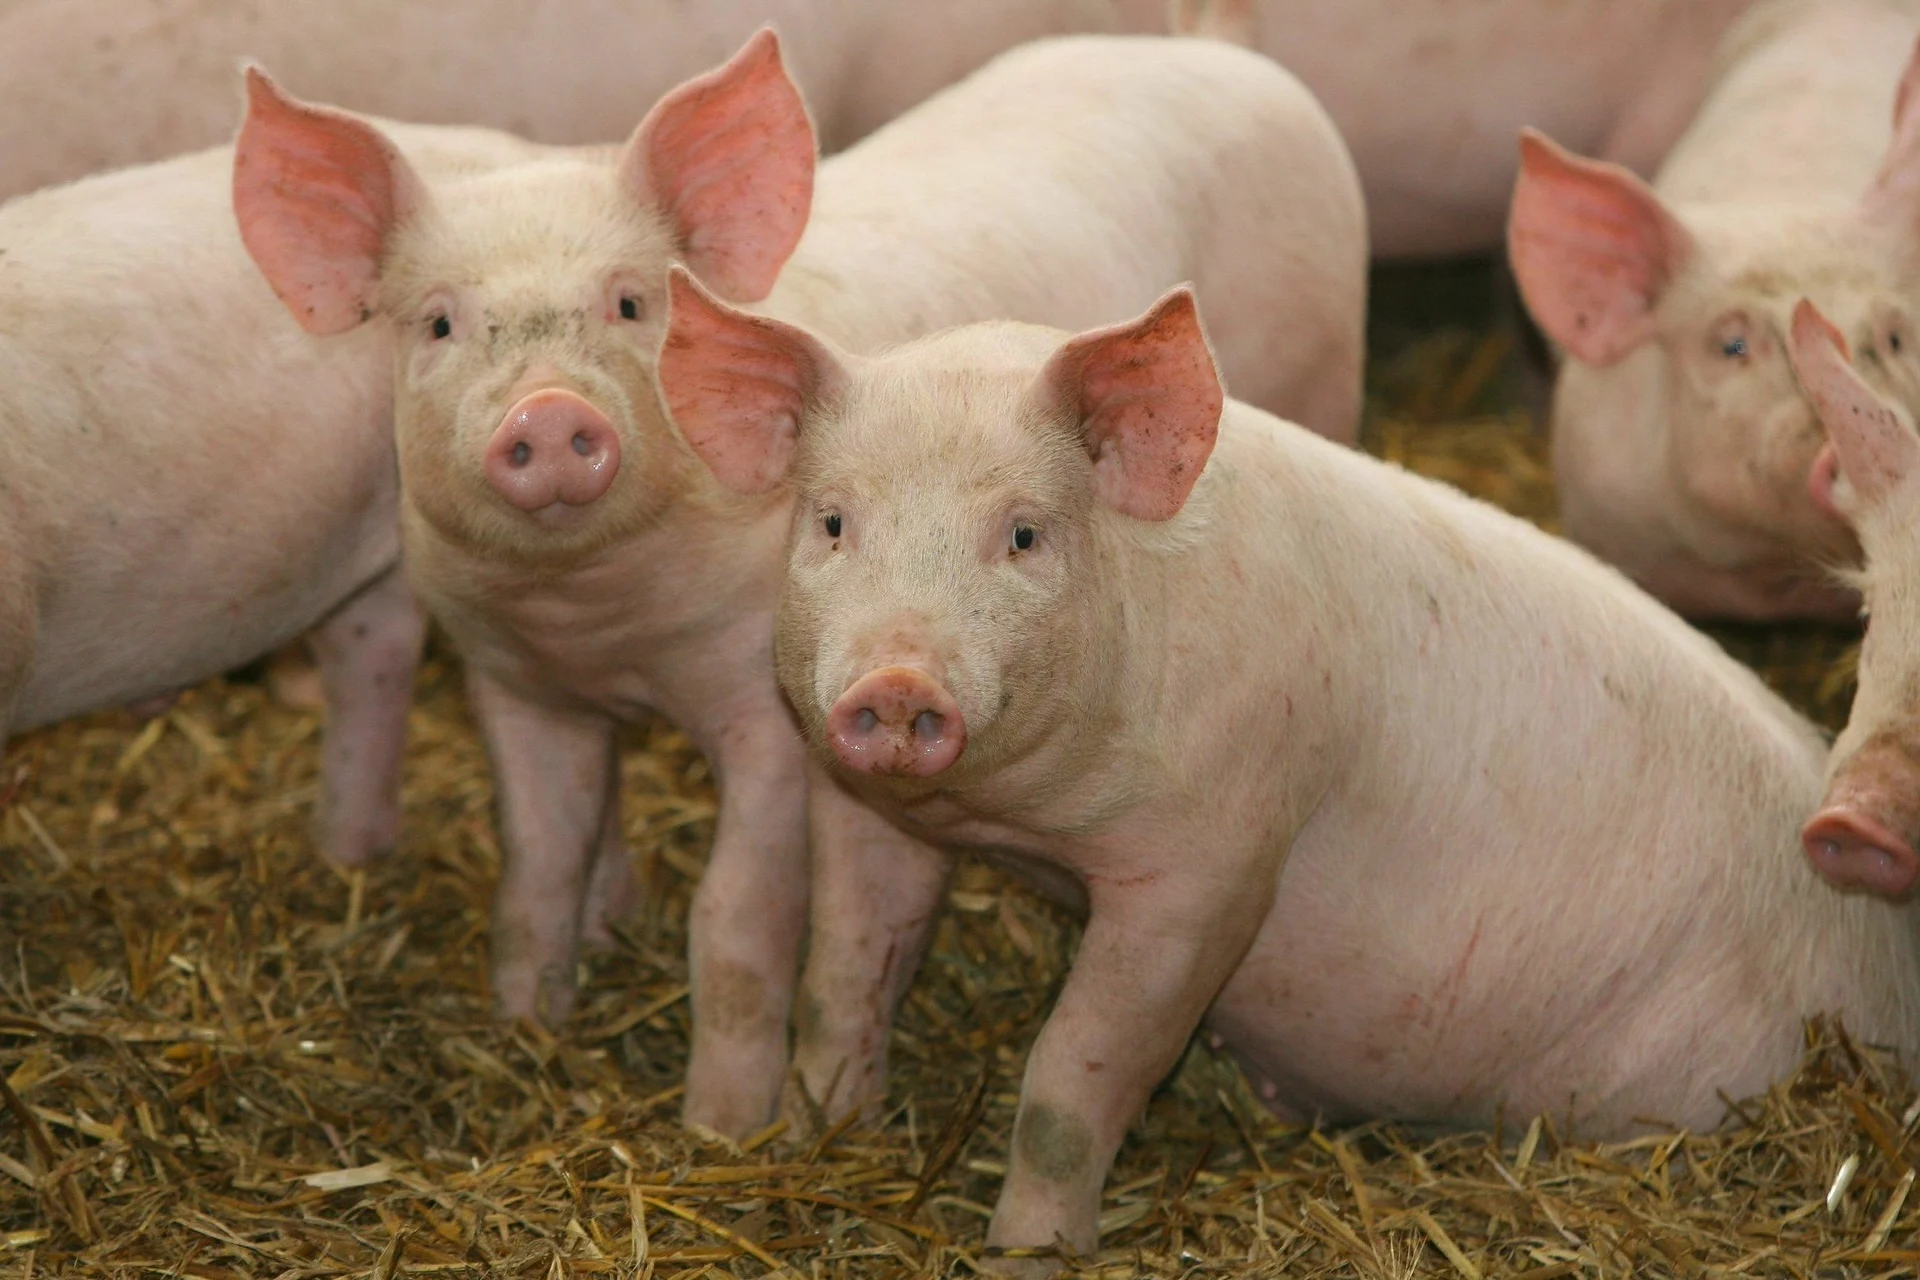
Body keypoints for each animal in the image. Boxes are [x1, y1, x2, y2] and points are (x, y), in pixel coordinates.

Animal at [231, 28, 1365, 1137]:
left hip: (1323, 370)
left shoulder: (770, 709)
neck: (601, 623)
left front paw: (724, 1131)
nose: (549, 413)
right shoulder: (515, 683)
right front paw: (526, 1029)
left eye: (631, 302)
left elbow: (736, 917)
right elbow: (537, 867)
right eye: (436, 323)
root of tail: (1214, 48)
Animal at [657, 269, 1920, 1267]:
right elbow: (845, 976)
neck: (1024, 822)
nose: (896, 681)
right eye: (832, 521)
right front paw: (819, 1134)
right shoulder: (873, 809)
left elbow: (1073, 1076)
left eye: (1023, 533)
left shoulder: (1215, 859)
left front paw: (1026, 1252)